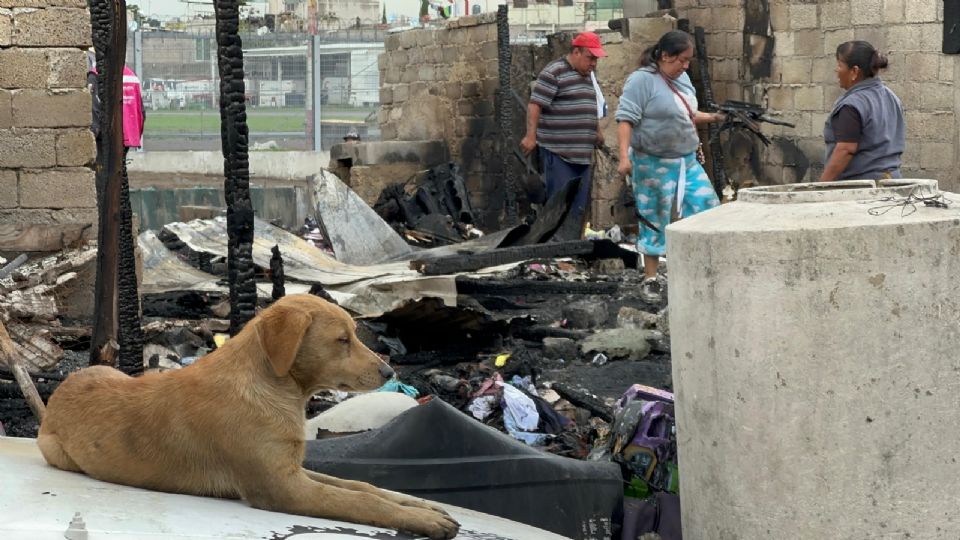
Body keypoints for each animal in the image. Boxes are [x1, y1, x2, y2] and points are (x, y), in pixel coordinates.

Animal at [37, 296, 458, 540]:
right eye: (343, 340)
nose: (390, 372)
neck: (275, 387)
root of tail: (60, 389)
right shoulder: (281, 487)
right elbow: (359, 502)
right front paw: (424, 521)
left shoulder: (290, 469)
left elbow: (361, 486)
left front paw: (422, 506)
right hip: (58, 452)